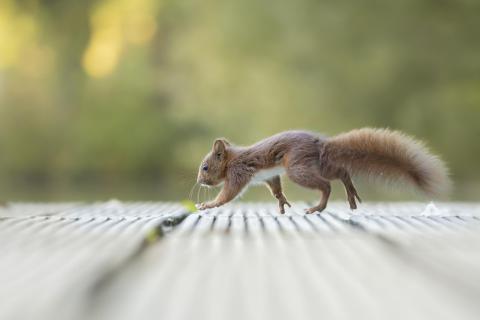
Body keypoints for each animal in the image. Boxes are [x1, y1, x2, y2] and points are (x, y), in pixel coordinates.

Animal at [195, 127, 450, 212]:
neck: (231, 159)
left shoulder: (238, 173)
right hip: (318, 165)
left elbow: (228, 194)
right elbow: (276, 189)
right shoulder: (271, 175)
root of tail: (320, 143)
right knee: (342, 172)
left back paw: (317, 207)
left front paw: (208, 204)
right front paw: (281, 202)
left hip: (297, 168)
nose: (198, 181)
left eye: (205, 167)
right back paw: (351, 194)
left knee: (326, 185)